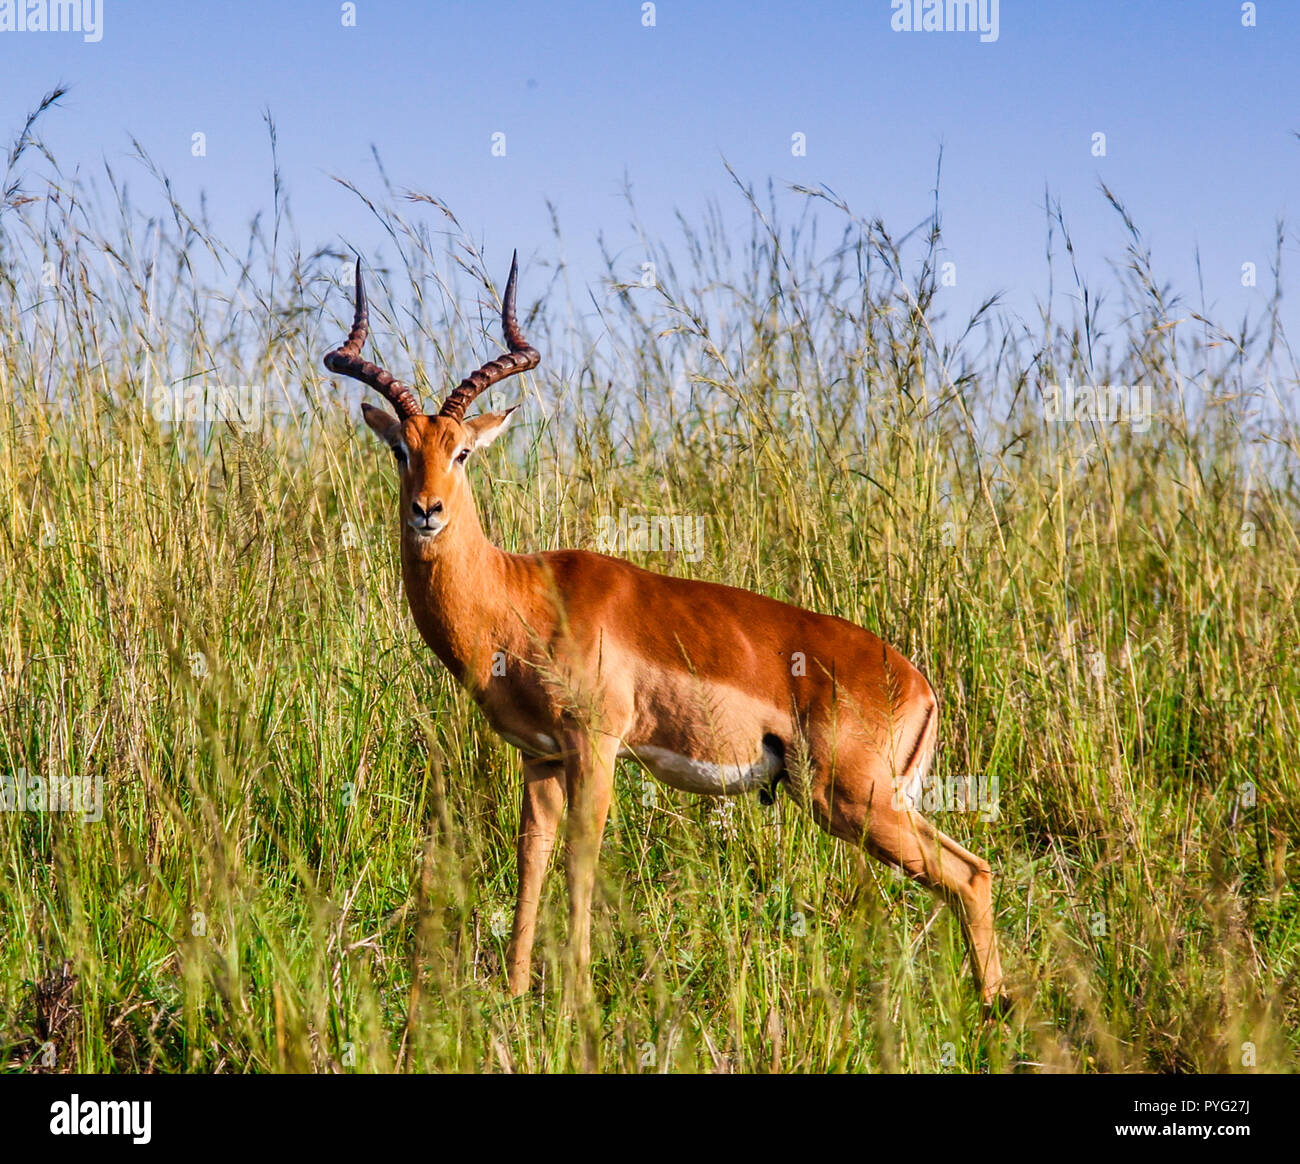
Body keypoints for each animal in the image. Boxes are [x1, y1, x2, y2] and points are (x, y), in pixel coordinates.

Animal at [324, 254, 1007, 1013]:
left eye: (464, 451)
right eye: (400, 450)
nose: (427, 511)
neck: (518, 596)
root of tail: (919, 684)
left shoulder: (596, 745)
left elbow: (580, 861)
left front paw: (575, 996)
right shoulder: (540, 757)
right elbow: (533, 859)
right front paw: (517, 991)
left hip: (853, 798)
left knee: (970, 874)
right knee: (972, 870)